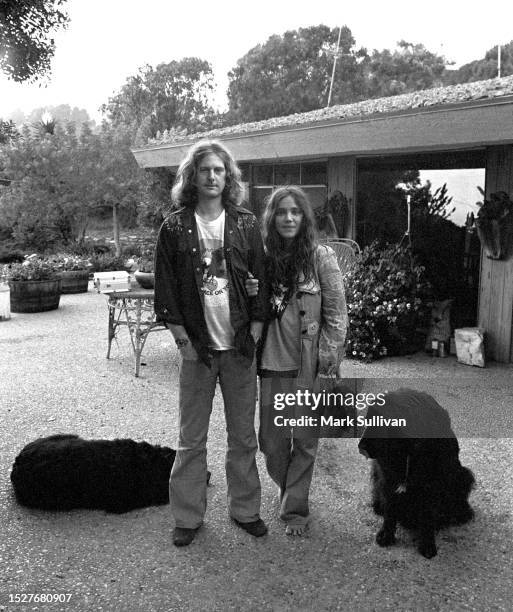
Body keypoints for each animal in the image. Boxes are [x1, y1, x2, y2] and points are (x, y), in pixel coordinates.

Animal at [358, 392, 474, 560]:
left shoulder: (431, 487)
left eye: (381, 424)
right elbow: (390, 512)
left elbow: (427, 517)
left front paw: (427, 545)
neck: (409, 452)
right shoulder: (387, 480)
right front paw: (386, 536)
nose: (360, 447)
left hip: (463, 475)